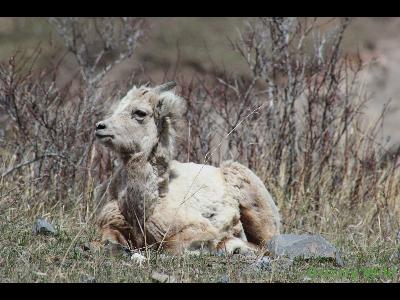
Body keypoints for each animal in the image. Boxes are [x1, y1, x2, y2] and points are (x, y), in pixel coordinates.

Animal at [95, 81, 280, 253]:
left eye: (140, 112)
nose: (100, 127)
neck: (144, 210)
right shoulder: (111, 226)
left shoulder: (194, 230)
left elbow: (171, 246)